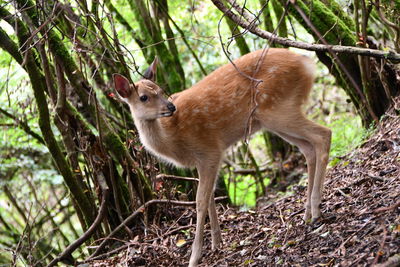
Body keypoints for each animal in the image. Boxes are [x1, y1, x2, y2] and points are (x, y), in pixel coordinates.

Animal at [112, 48, 332, 267]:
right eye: (143, 97)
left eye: (160, 90)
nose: (170, 107)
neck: (174, 140)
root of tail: (306, 64)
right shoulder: (202, 160)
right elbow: (210, 197)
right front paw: (216, 243)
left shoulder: (210, 150)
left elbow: (201, 201)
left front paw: (195, 256)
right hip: (274, 117)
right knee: (308, 148)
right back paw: (307, 214)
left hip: (278, 109)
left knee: (323, 135)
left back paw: (316, 209)